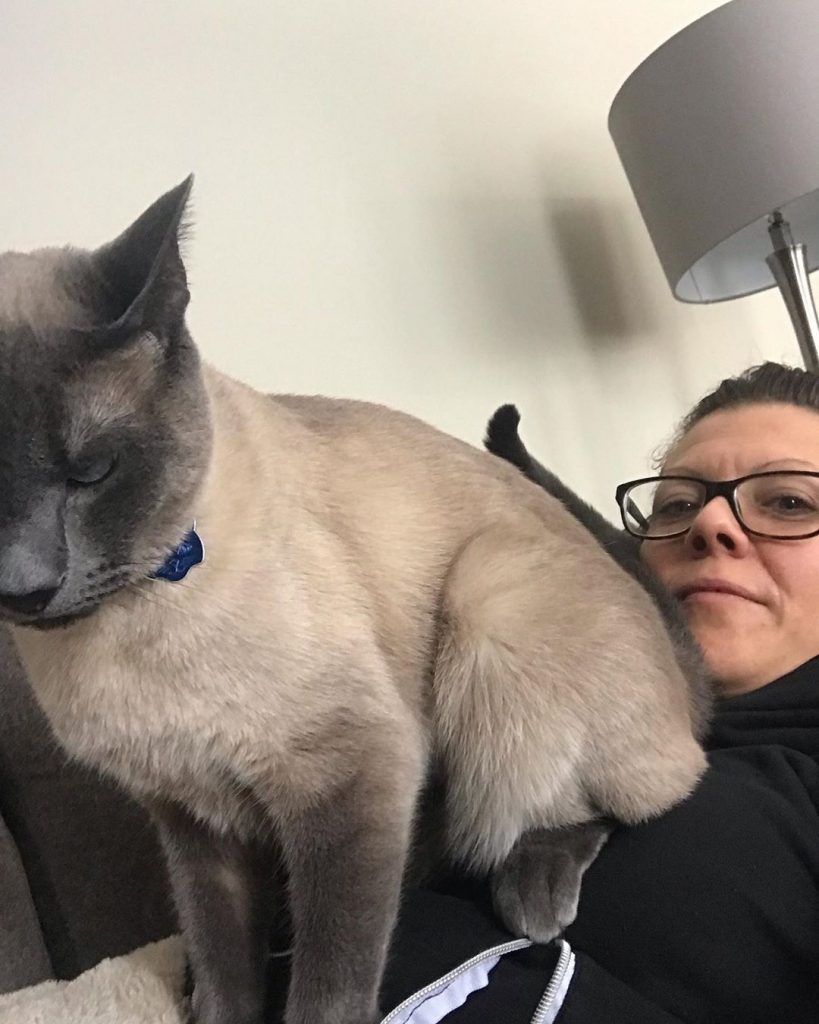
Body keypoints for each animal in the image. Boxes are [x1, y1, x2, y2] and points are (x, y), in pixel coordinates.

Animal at [0, 178, 705, 1024]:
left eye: (92, 472)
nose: (26, 584)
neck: (119, 633)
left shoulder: (345, 775)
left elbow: (330, 977)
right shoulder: (195, 820)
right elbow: (223, 964)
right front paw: (217, 1001)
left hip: (490, 597)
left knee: (615, 800)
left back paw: (531, 895)